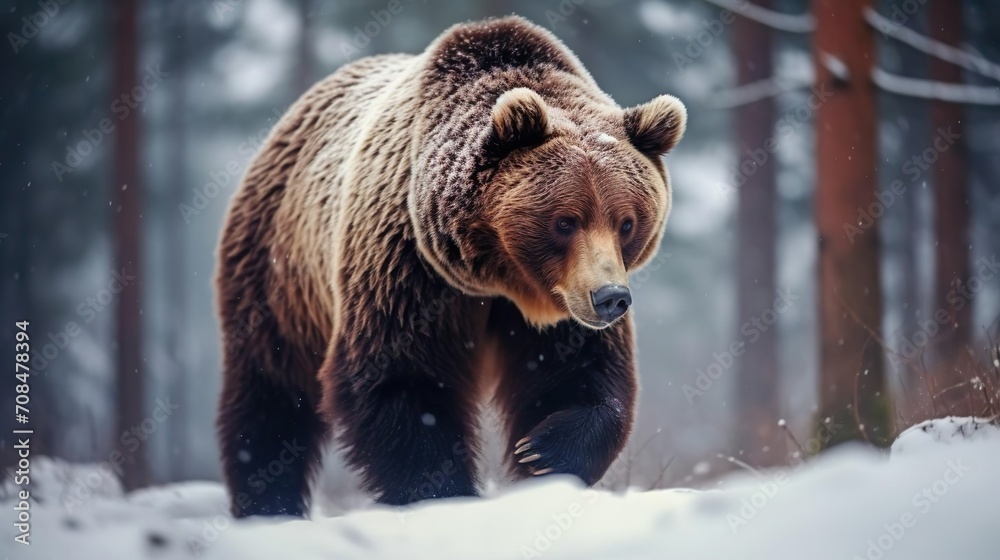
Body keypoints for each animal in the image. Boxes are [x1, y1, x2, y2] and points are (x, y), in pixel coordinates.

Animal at [215, 15, 686, 517]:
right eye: (565, 220)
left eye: (626, 222)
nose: (610, 298)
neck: (498, 277)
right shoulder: (407, 264)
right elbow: (404, 378)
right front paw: (441, 493)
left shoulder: (562, 306)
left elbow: (582, 372)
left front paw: (542, 452)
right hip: (278, 268)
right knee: (270, 388)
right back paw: (267, 502)